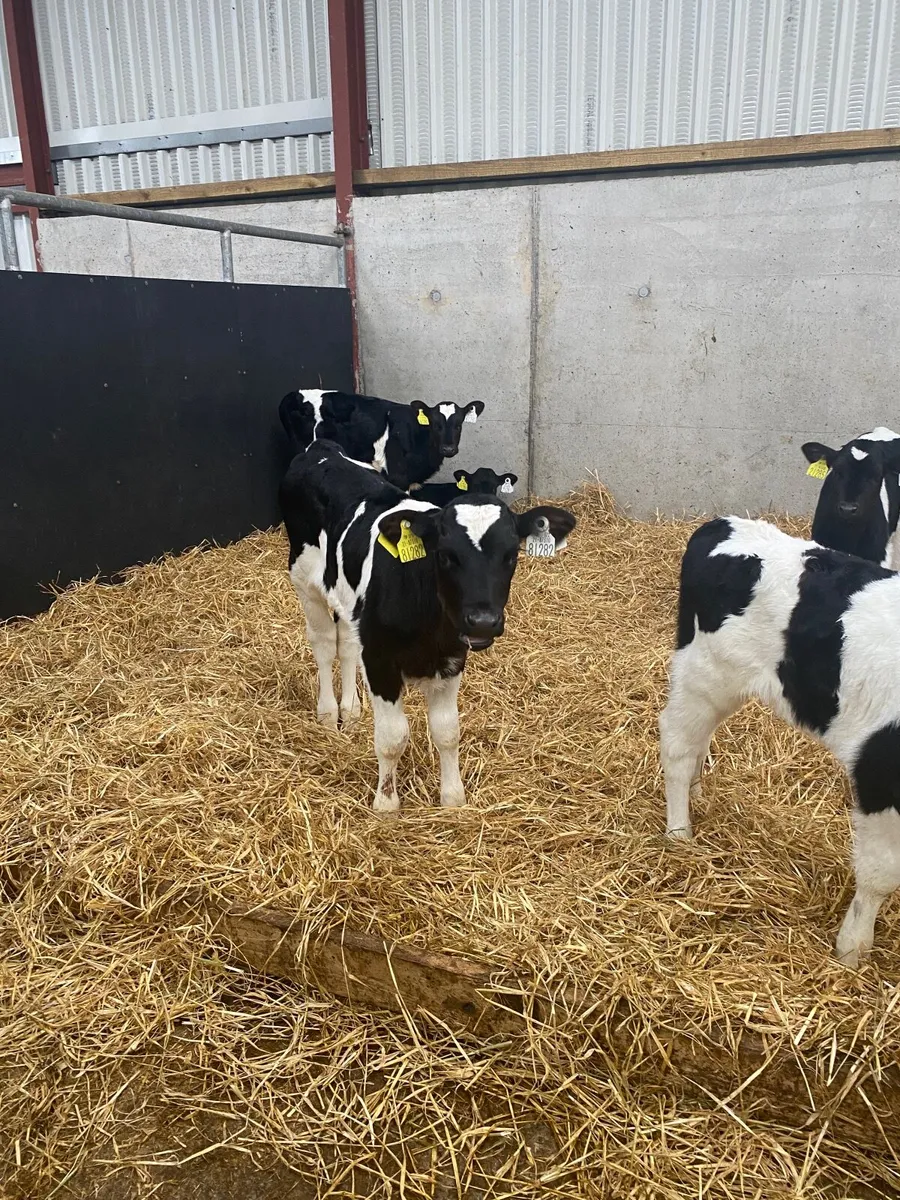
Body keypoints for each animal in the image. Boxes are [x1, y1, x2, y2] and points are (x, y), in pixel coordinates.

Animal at [279, 439, 576, 813]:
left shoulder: (451, 661)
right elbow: (392, 737)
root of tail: (323, 447)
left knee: (345, 643)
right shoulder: (380, 661)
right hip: (304, 580)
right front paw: (386, 805)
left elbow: (447, 732)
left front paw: (453, 799)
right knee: (322, 644)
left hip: (351, 604)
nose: (483, 621)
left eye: (511, 555)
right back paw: (329, 714)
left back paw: (351, 711)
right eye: (446, 554)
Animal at [659, 515, 900, 967]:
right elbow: (881, 874)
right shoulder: (880, 776)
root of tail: (722, 523)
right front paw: (852, 950)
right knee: (678, 743)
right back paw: (679, 832)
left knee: (700, 737)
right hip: (705, 672)